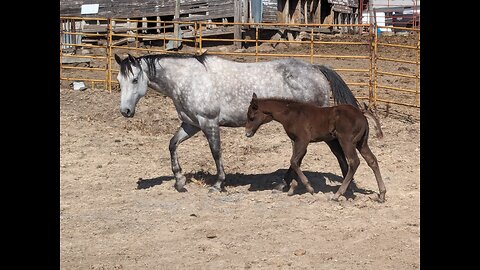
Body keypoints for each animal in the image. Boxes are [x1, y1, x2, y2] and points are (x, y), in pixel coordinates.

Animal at [114, 52, 358, 192]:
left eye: (134, 79)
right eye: (119, 80)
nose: (125, 111)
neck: (188, 79)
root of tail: (315, 69)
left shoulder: (209, 123)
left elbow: (216, 152)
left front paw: (218, 184)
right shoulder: (191, 125)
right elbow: (172, 144)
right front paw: (179, 180)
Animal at [244, 93, 386, 202]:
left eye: (251, 117)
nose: (247, 133)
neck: (291, 114)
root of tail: (361, 113)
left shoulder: (302, 140)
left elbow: (294, 161)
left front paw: (309, 188)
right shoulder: (297, 141)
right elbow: (296, 162)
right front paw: (292, 188)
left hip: (347, 141)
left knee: (354, 162)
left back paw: (337, 194)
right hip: (362, 143)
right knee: (372, 161)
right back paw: (382, 194)